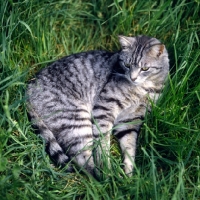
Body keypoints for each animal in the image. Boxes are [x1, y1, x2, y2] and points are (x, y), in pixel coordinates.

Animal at [26, 35, 170, 176]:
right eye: (127, 65)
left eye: (145, 68)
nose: (133, 78)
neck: (145, 89)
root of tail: (29, 87)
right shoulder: (105, 107)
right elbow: (102, 142)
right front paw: (106, 165)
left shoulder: (130, 120)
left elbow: (129, 146)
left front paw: (128, 173)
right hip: (77, 120)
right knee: (82, 159)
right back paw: (105, 178)